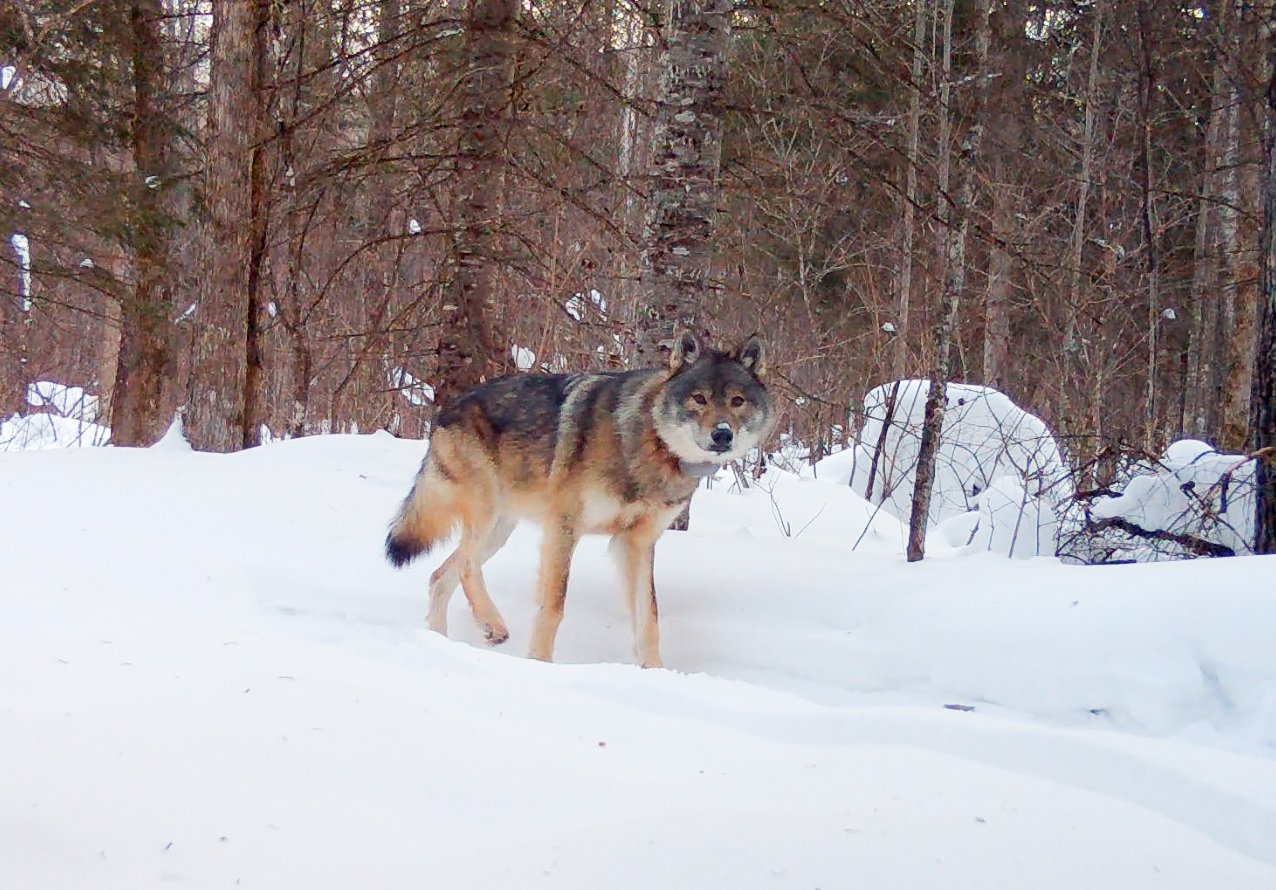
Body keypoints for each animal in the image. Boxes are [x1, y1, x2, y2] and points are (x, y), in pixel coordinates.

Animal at [382, 331, 770, 663]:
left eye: (737, 401)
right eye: (699, 399)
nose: (723, 434)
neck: (649, 445)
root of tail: (445, 411)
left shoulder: (637, 544)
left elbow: (649, 619)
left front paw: (656, 673)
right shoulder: (563, 529)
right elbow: (554, 606)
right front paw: (539, 663)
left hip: (500, 530)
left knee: (441, 575)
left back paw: (443, 640)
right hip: (488, 516)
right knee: (464, 565)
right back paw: (493, 624)